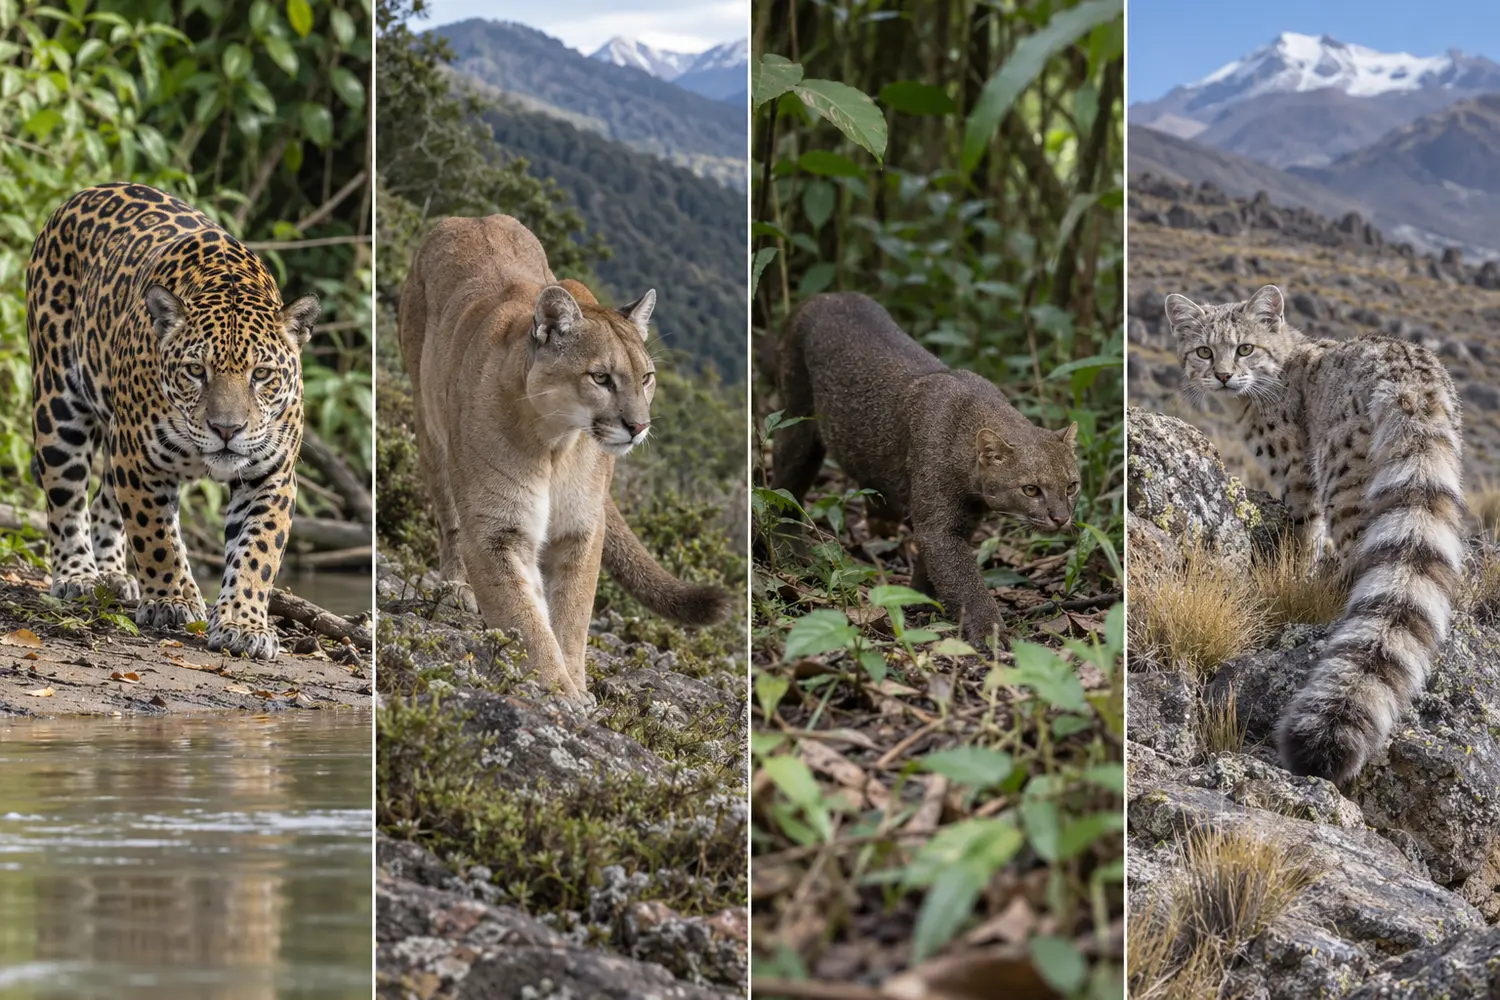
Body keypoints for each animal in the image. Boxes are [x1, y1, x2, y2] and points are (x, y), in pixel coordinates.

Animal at [26, 182, 321, 660]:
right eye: (196, 371)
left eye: (261, 374)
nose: (227, 429)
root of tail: (83, 193)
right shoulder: (139, 462)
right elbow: (156, 537)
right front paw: (174, 600)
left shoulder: (271, 476)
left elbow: (258, 552)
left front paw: (243, 624)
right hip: (59, 402)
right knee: (66, 496)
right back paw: (79, 576)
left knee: (105, 498)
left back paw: (112, 575)